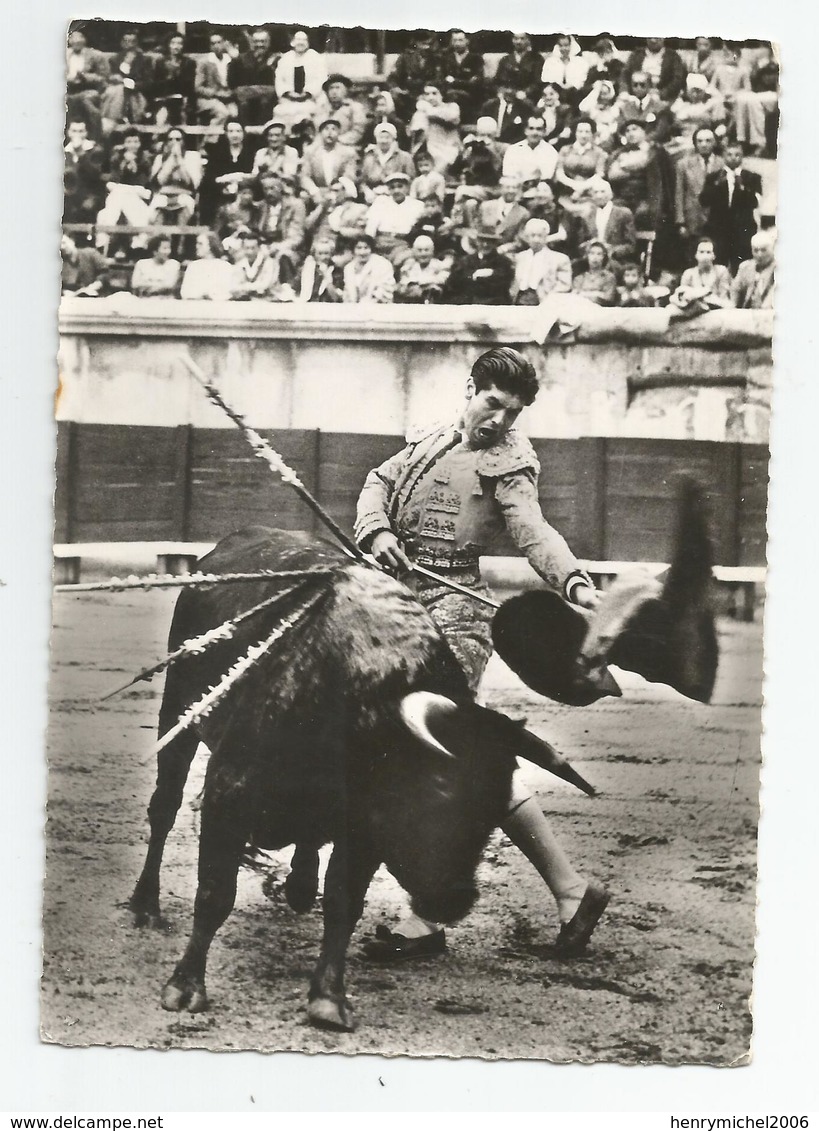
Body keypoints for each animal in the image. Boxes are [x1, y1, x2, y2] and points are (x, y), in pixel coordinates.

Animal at [129, 481, 714, 1031]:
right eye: (437, 788)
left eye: (494, 806)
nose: (452, 898)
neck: (360, 700)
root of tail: (224, 548)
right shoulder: (230, 787)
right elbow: (215, 892)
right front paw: (185, 989)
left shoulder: (366, 824)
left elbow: (344, 903)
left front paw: (328, 1000)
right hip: (177, 710)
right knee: (164, 808)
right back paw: (146, 907)